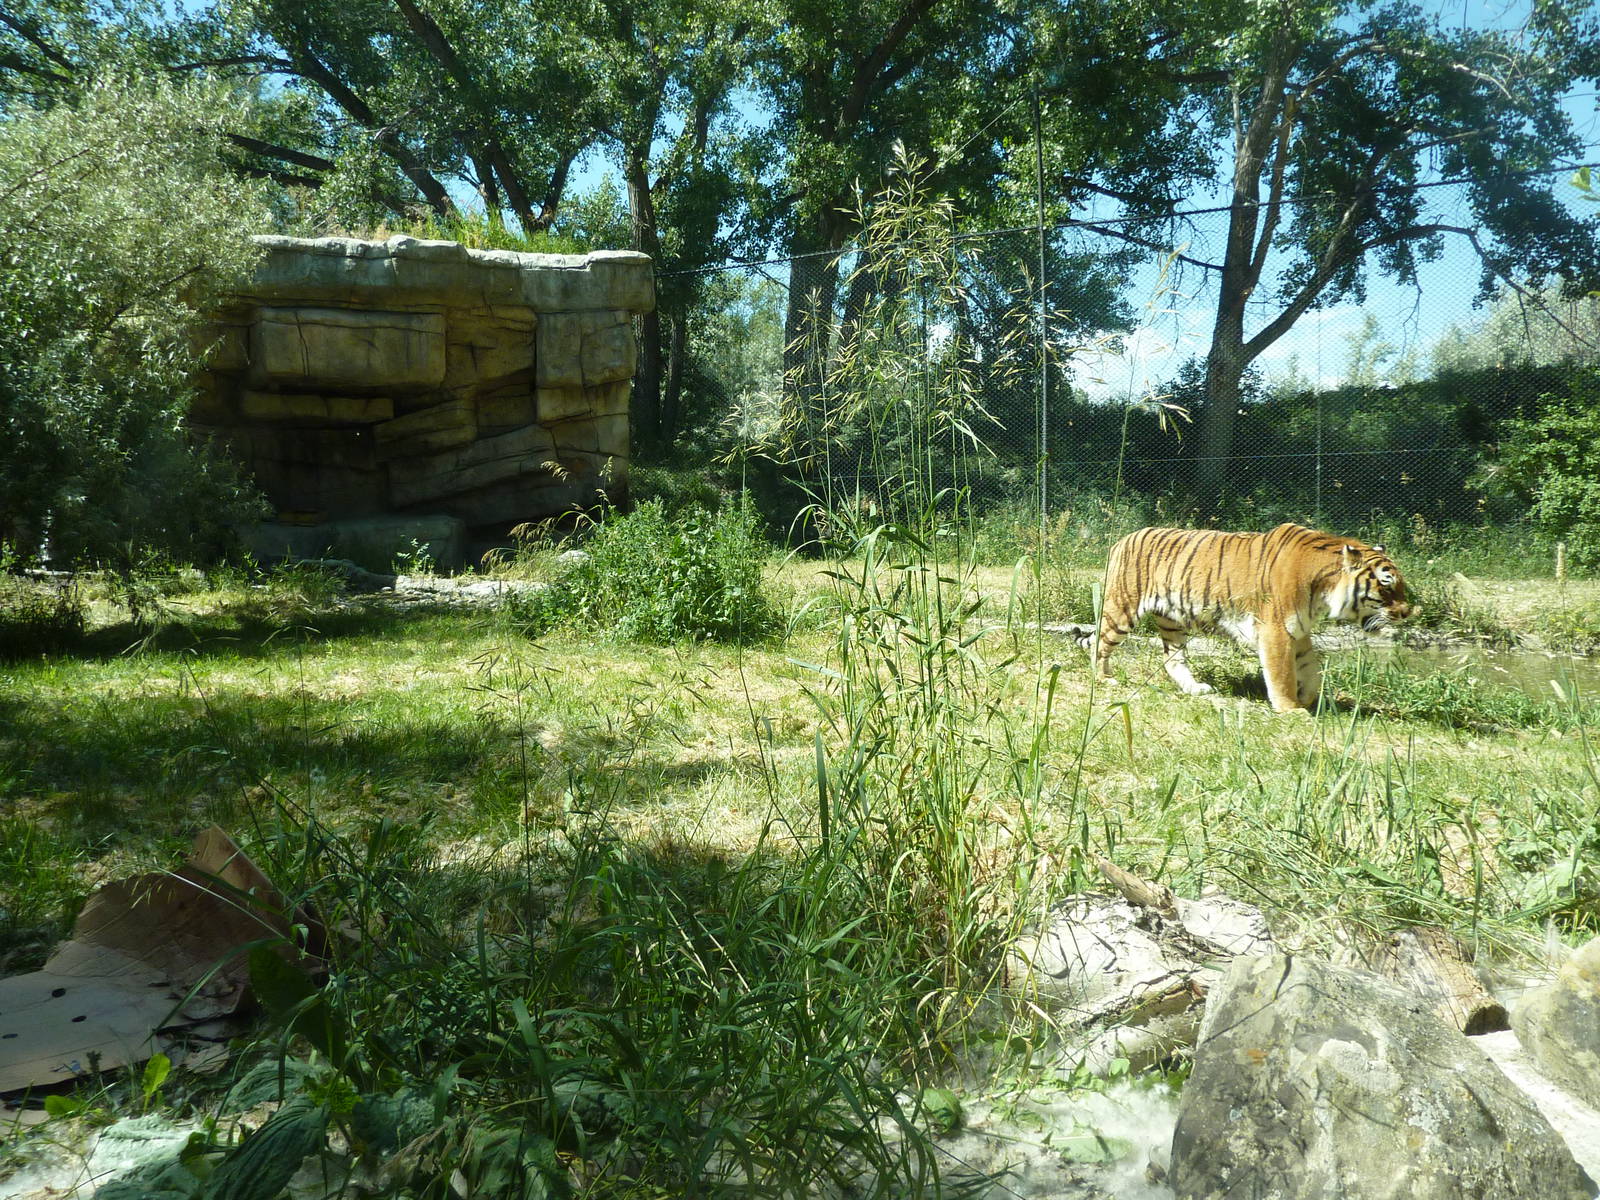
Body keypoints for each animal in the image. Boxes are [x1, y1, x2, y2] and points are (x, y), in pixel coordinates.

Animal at [1086, 522, 1414, 712]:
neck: (1324, 591)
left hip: (1172, 621)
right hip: (1122, 608)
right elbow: (1282, 674)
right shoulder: (1276, 629)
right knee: (1099, 643)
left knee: (1171, 659)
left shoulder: (1299, 630)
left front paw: (1308, 698)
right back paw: (1103, 679)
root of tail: (1123, 539)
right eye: (1386, 586)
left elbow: (1310, 668)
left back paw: (1195, 689)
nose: (1407, 612)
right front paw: (1291, 709)